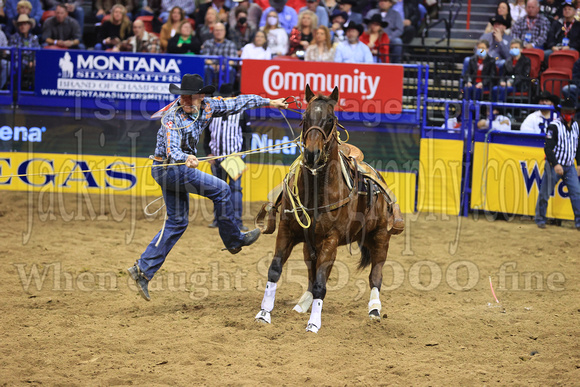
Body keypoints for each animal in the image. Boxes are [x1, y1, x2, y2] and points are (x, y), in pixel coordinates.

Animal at [254, 85, 404, 334]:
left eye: (331, 119)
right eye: (305, 116)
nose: (312, 154)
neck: (316, 192)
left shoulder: (331, 239)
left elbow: (321, 285)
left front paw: (314, 323)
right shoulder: (287, 231)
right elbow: (275, 270)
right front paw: (264, 313)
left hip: (381, 236)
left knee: (375, 274)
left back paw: (374, 310)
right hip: (311, 245)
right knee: (312, 272)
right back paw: (302, 304)